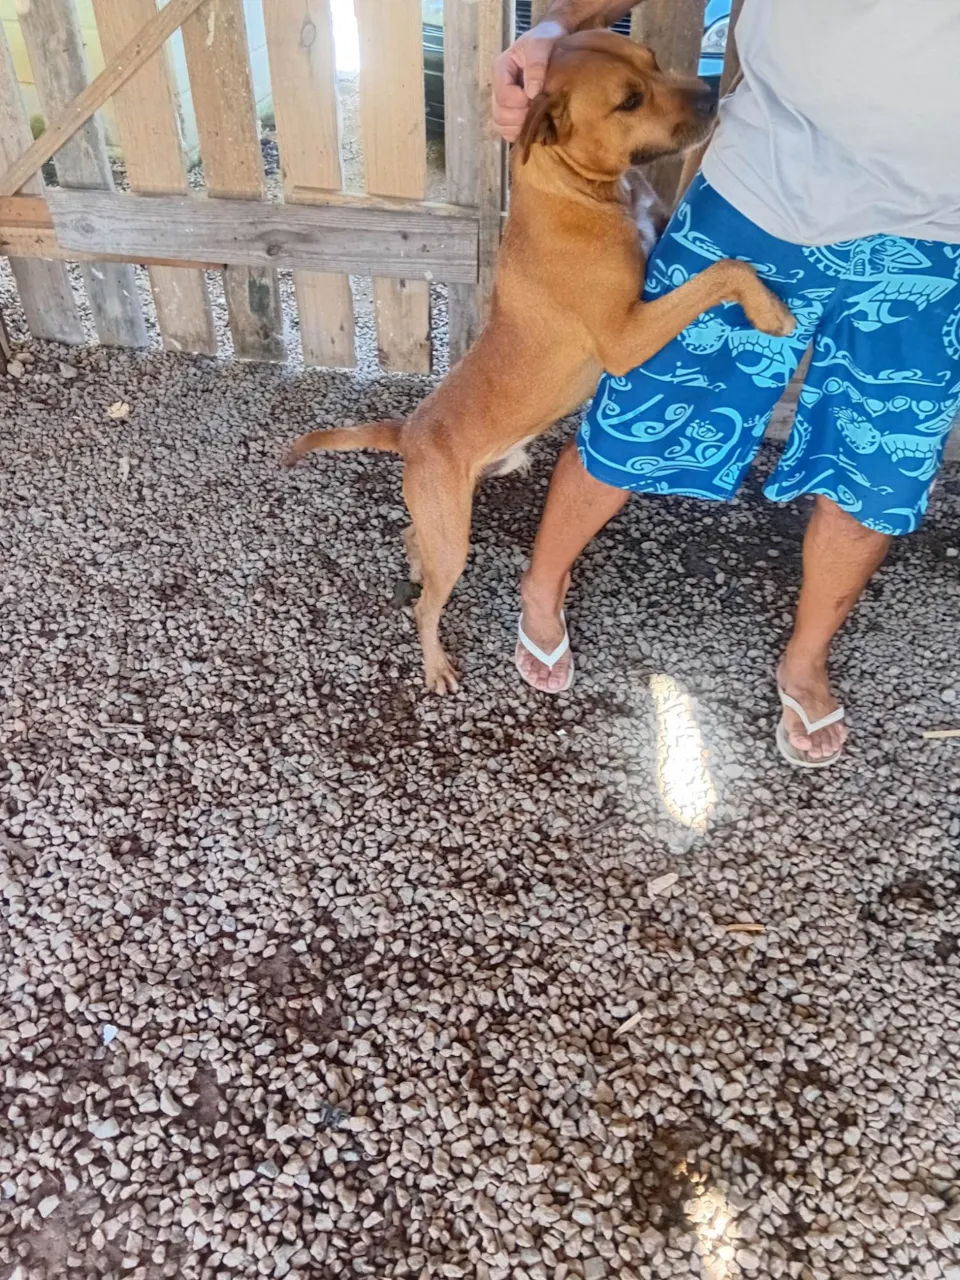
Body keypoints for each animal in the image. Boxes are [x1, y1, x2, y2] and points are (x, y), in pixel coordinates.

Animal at [287, 30, 794, 694]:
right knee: (426, 605)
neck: (578, 187)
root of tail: (409, 430)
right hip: (455, 534)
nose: (715, 93)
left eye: (655, 64)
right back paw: (435, 662)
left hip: (454, 511)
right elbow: (724, 270)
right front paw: (771, 310)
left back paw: (416, 564)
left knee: (410, 533)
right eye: (629, 100)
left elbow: (717, 262)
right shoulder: (625, 336)